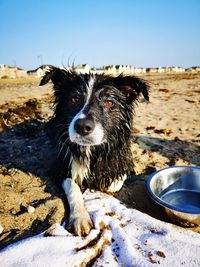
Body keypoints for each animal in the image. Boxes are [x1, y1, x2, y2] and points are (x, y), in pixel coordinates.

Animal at [39, 67, 148, 237]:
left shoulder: (125, 164)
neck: (92, 150)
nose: (82, 127)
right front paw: (80, 218)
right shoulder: (60, 167)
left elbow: (113, 184)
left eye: (109, 102)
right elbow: (73, 187)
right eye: (74, 99)